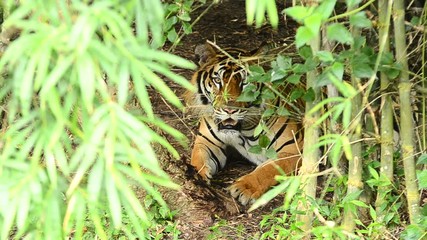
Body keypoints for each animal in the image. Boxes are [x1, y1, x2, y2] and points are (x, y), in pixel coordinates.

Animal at [184, 41, 304, 204]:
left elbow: (267, 169)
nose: (230, 110)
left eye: (245, 82)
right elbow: (197, 157)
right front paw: (196, 176)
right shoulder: (206, 142)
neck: (242, 130)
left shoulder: (292, 150)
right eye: (218, 81)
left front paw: (244, 188)